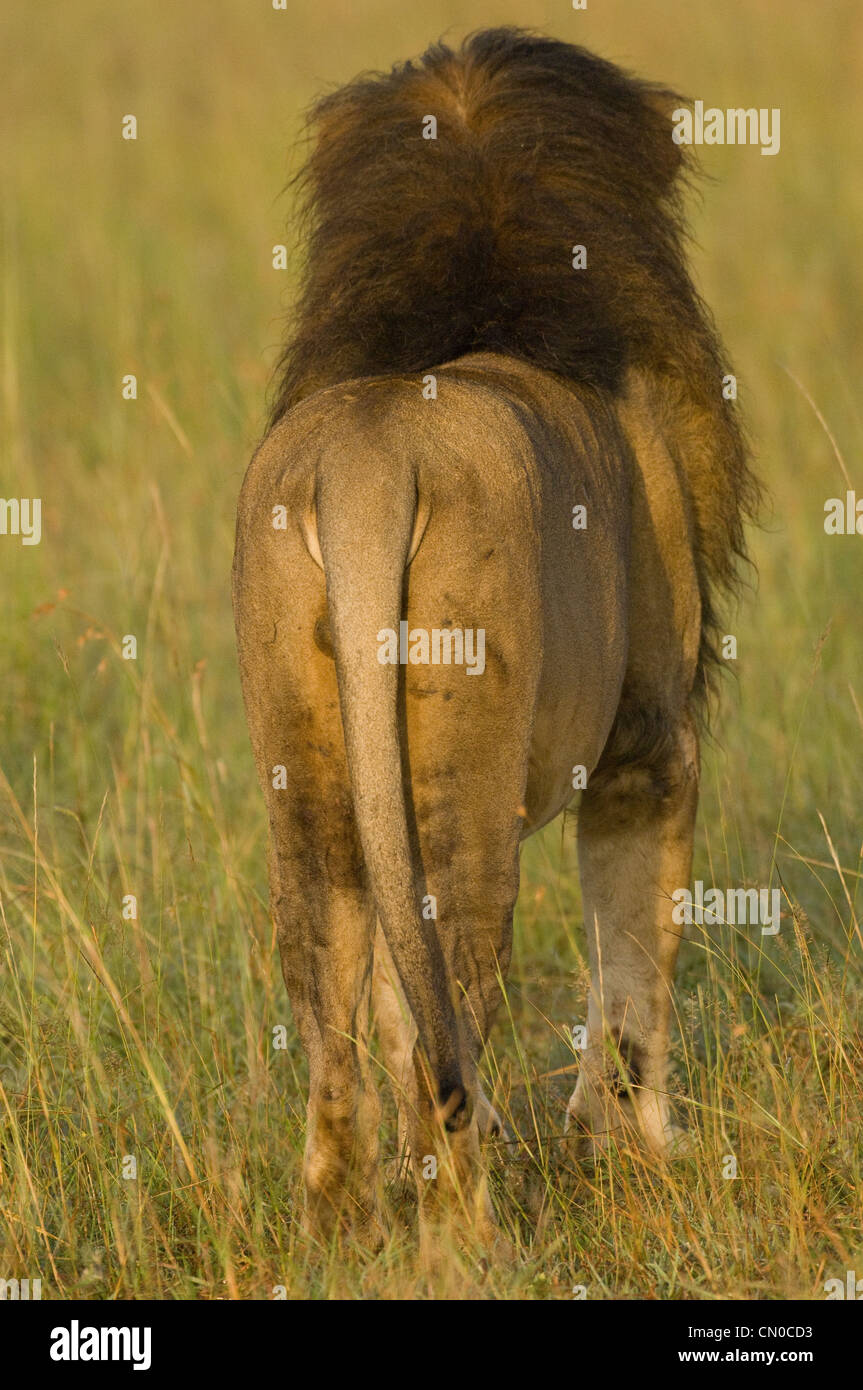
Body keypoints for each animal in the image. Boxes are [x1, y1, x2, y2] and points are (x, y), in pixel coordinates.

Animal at [232, 29, 755, 1251]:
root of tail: (366, 465)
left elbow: (394, 1005)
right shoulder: (647, 752)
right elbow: (634, 964)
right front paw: (633, 1149)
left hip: (310, 776)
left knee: (337, 1029)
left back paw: (347, 1229)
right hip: (464, 790)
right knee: (447, 1043)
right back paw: (468, 1236)